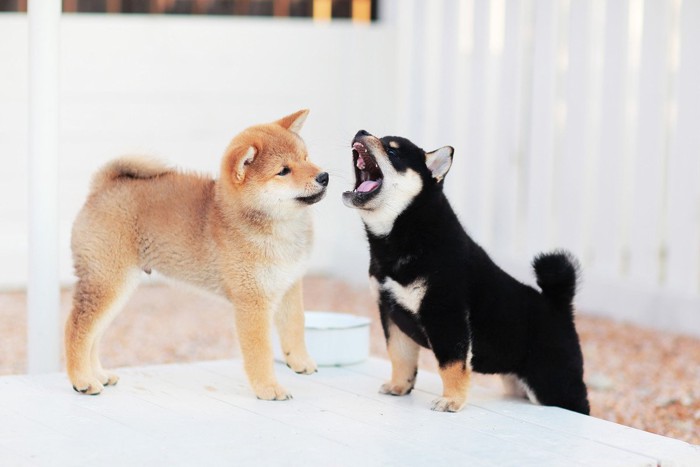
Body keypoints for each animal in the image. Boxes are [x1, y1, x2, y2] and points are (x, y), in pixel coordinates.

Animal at [342, 130, 588, 414]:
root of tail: (558, 307)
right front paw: (399, 386)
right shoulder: (391, 313)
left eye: (392, 151)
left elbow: (451, 364)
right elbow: (400, 356)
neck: (405, 236)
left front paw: (452, 400)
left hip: (557, 385)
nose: (361, 132)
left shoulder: (445, 314)